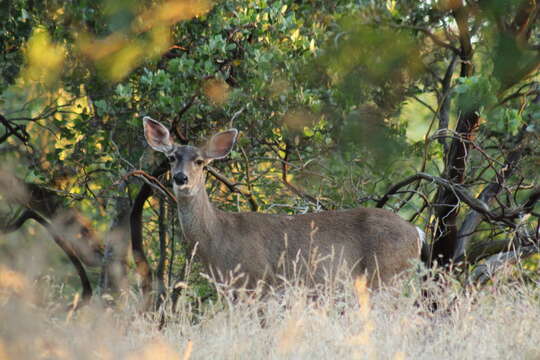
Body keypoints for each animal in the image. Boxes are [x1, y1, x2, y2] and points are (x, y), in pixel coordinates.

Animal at [143, 116, 426, 292]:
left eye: (200, 161)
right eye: (171, 158)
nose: (181, 178)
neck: (218, 238)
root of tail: (417, 232)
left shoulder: (258, 280)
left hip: (388, 274)